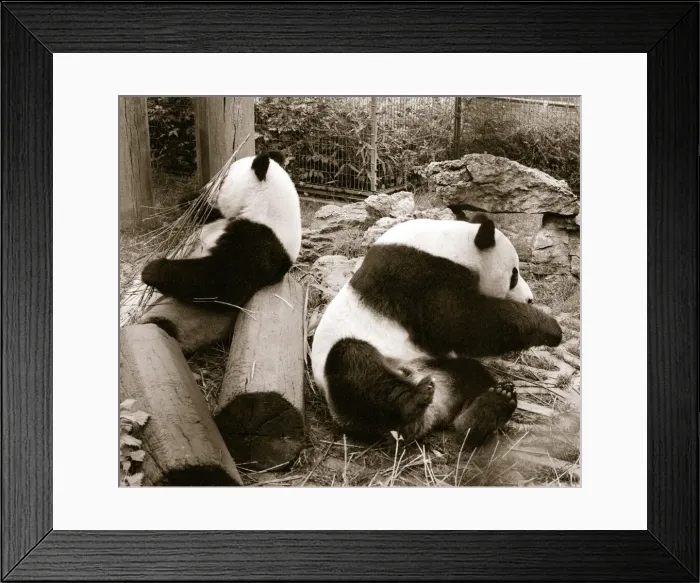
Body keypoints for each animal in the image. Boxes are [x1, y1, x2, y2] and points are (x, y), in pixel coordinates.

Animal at [141, 151, 301, 312]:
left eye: (223, 180)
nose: (206, 188)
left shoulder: (261, 242)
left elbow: (223, 283)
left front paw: (152, 270)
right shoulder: (224, 219)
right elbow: (208, 214)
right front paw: (190, 200)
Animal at [310, 214, 562, 445]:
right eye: (514, 275)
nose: (530, 299)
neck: (451, 243)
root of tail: (429, 416)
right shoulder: (418, 276)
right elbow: (458, 323)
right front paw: (549, 327)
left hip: (437, 366)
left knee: (471, 375)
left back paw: (486, 411)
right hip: (347, 392)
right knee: (354, 364)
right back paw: (413, 400)